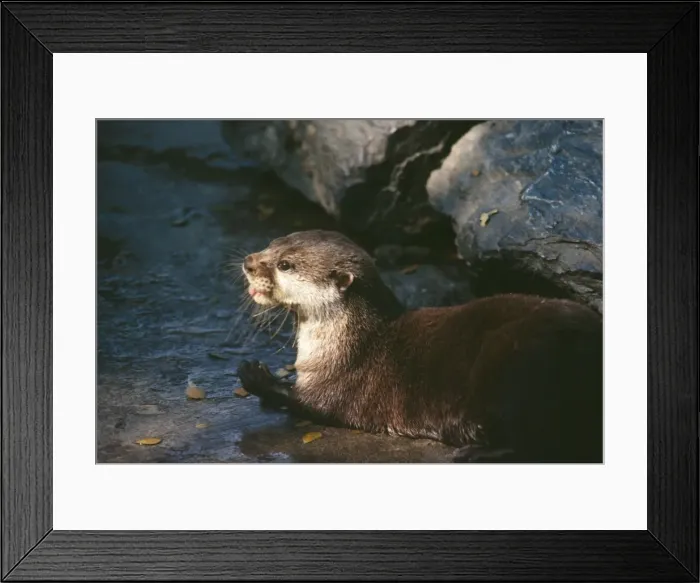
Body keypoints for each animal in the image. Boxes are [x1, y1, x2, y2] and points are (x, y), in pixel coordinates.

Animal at [237, 230, 603, 463]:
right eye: (272, 243)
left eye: (285, 264)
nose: (249, 262)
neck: (346, 343)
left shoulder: (337, 382)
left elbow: (306, 404)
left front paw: (255, 374)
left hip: (514, 363)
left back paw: (474, 452)